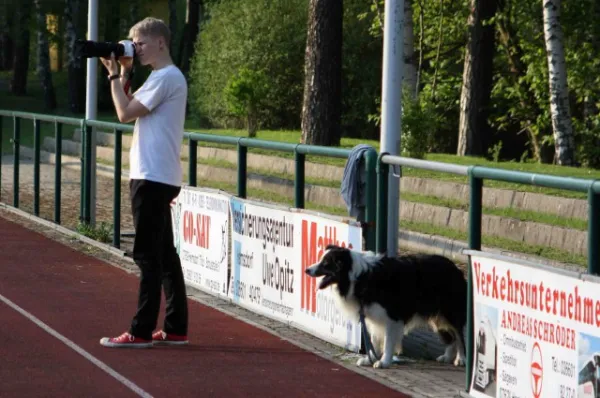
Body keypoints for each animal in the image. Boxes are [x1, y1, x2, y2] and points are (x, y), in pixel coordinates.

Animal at [304, 246, 468, 370]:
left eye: (326, 263)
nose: (307, 270)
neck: (360, 277)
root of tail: (455, 267)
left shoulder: (392, 317)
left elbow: (388, 341)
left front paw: (384, 361)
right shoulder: (372, 316)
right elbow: (374, 339)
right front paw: (370, 359)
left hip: (450, 312)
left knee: (459, 335)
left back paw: (461, 359)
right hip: (437, 317)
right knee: (451, 336)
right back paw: (447, 356)